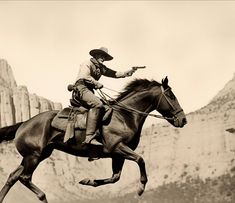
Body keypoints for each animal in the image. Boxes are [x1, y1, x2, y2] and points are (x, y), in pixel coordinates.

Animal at [0, 77, 187, 202]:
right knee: (24, 178)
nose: (183, 120)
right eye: (171, 95)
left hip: (36, 155)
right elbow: (140, 160)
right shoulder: (117, 148)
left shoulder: (117, 155)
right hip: (33, 156)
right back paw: (43, 197)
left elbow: (114, 178)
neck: (124, 116)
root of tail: (24, 123)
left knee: (12, 177)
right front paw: (141, 188)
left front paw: (87, 181)